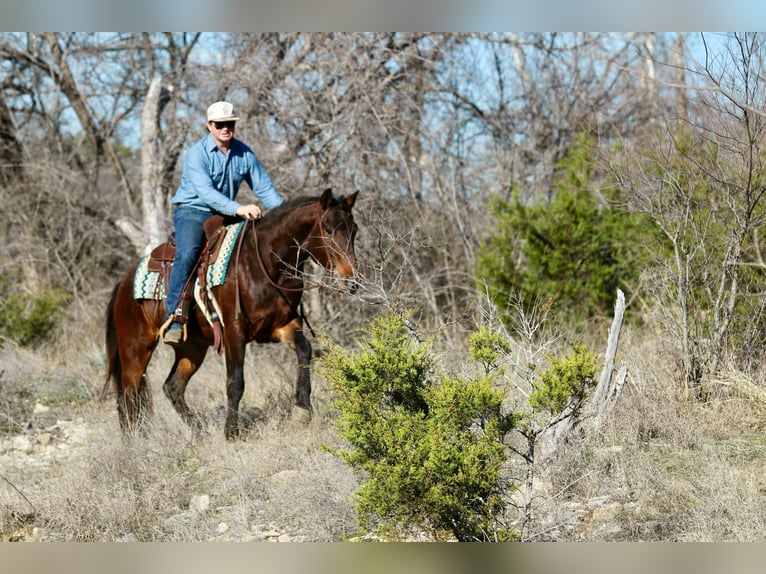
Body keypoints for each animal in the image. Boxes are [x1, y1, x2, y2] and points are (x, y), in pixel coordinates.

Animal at [103, 189, 359, 439]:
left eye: (354, 229)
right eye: (328, 228)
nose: (351, 280)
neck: (264, 263)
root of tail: (124, 282)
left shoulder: (284, 325)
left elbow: (305, 351)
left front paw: (303, 410)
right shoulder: (234, 332)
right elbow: (235, 382)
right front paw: (231, 432)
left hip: (192, 348)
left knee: (172, 387)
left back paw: (199, 432)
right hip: (136, 346)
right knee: (128, 395)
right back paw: (134, 441)